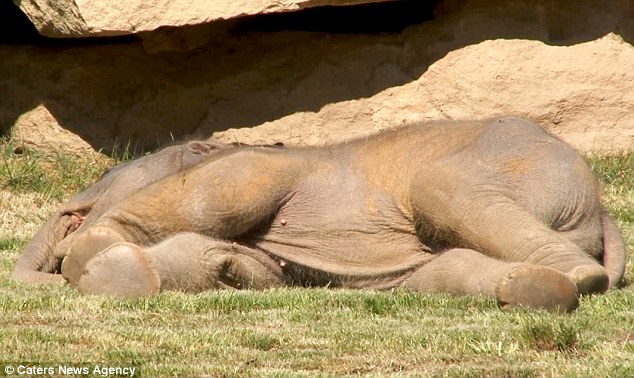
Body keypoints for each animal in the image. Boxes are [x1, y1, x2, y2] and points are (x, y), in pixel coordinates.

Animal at [12, 119, 624, 314]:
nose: (69, 222)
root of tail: (603, 214)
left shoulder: (264, 167)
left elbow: (215, 195)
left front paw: (90, 258)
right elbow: (227, 263)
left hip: (517, 162)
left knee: (441, 191)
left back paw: (576, 280)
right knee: (443, 273)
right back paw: (538, 289)